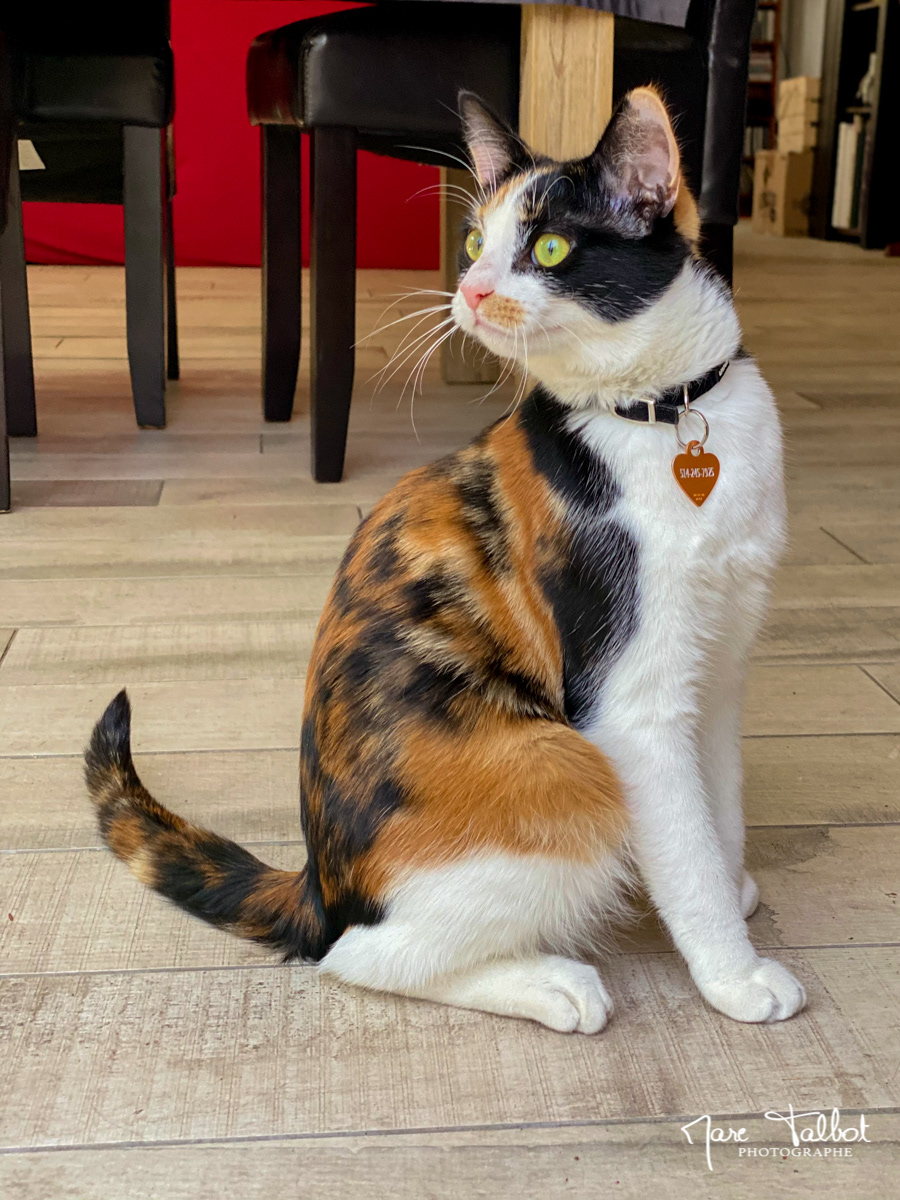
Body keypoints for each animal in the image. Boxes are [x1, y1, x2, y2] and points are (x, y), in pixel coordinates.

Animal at [85, 87, 806, 1033]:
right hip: (561, 768)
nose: (470, 288)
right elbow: (679, 840)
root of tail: (317, 884)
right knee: (352, 955)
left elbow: (718, 801)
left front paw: (733, 883)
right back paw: (552, 985)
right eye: (473, 243)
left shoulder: (721, 666)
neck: (662, 413)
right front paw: (735, 972)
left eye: (548, 247)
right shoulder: (630, 706)